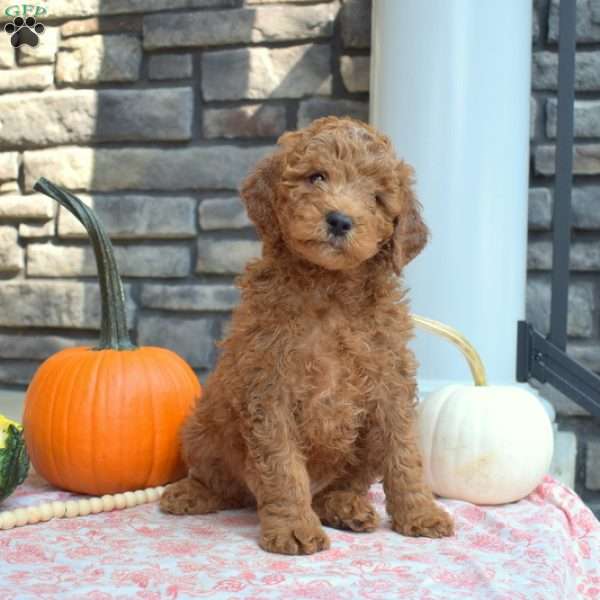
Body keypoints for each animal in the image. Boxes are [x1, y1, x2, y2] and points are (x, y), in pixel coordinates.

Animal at [159, 116, 454, 552]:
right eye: (317, 176)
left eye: (377, 198)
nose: (340, 220)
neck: (330, 288)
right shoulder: (269, 386)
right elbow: (283, 467)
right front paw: (294, 528)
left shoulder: (390, 385)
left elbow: (404, 454)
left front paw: (420, 513)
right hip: (204, 426)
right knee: (222, 481)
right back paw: (190, 493)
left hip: (361, 446)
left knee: (344, 483)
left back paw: (344, 506)